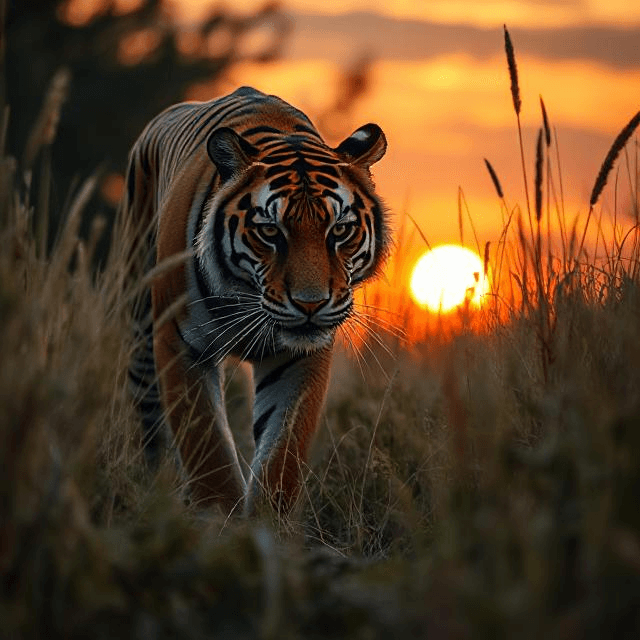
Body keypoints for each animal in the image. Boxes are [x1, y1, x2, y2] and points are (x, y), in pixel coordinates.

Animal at [123, 86, 389, 516]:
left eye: (340, 230)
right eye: (269, 231)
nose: (311, 304)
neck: (247, 296)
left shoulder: (299, 356)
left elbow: (282, 454)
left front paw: (267, 522)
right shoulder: (178, 343)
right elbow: (206, 448)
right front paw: (220, 520)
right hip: (141, 329)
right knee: (150, 426)